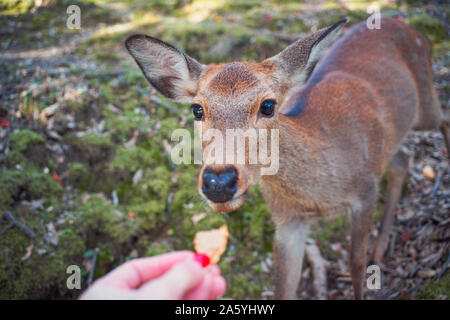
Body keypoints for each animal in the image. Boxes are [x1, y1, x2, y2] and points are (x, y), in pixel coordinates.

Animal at [125, 16, 450, 298]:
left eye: (268, 105)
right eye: (197, 109)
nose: (219, 181)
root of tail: (415, 31)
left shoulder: (365, 191)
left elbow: (356, 265)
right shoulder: (287, 220)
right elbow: (284, 285)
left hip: (424, 104)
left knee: (443, 120)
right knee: (402, 160)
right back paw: (380, 246)